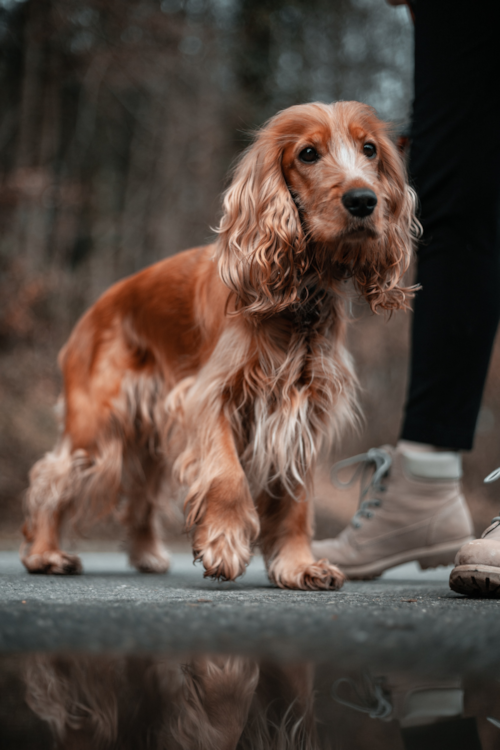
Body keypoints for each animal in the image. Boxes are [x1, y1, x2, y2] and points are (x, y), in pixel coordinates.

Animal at [21, 103, 418, 592]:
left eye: (370, 149)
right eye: (308, 153)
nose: (364, 200)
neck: (298, 300)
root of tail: (93, 310)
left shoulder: (302, 410)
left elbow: (296, 499)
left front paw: (298, 565)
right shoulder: (207, 396)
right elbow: (227, 477)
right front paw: (224, 545)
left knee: (140, 493)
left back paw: (147, 554)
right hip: (99, 426)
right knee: (50, 478)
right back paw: (45, 553)